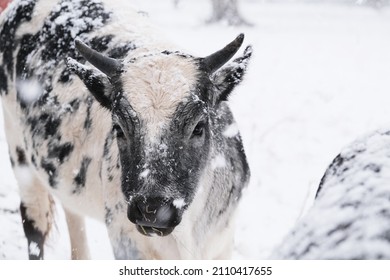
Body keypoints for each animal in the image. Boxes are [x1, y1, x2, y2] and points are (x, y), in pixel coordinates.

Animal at [0, 0, 251, 260]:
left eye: (199, 127)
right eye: (118, 127)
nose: (152, 209)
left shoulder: (221, 243)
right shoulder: (126, 241)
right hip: (19, 152)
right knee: (35, 221)